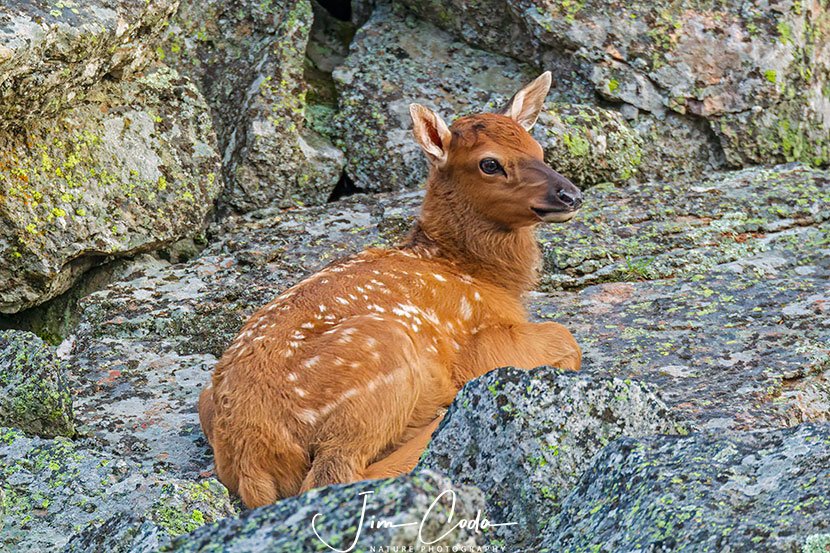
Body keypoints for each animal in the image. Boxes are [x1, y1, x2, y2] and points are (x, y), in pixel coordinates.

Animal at [198, 71, 583, 508]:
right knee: (334, 475)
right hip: (382, 353)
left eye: (538, 148)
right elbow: (566, 337)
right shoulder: (480, 345)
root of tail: (251, 450)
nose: (570, 194)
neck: (476, 273)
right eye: (490, 163)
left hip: (208, 399)